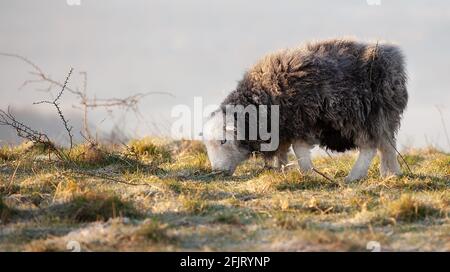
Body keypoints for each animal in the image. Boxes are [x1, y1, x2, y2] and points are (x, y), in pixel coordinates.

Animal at [203, 37, 408, 181]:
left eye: (223, 141)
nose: (217, 172)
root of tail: (394, 58)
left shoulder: (300, 121)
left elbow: (299, 149)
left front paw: (308, 173)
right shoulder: (282, 129)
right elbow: (282, 151)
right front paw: (281, 170)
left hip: (366, 116)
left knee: (370, 147)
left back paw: (353, 177)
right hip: (384, 118)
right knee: (387, 145)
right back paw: (391, 173)